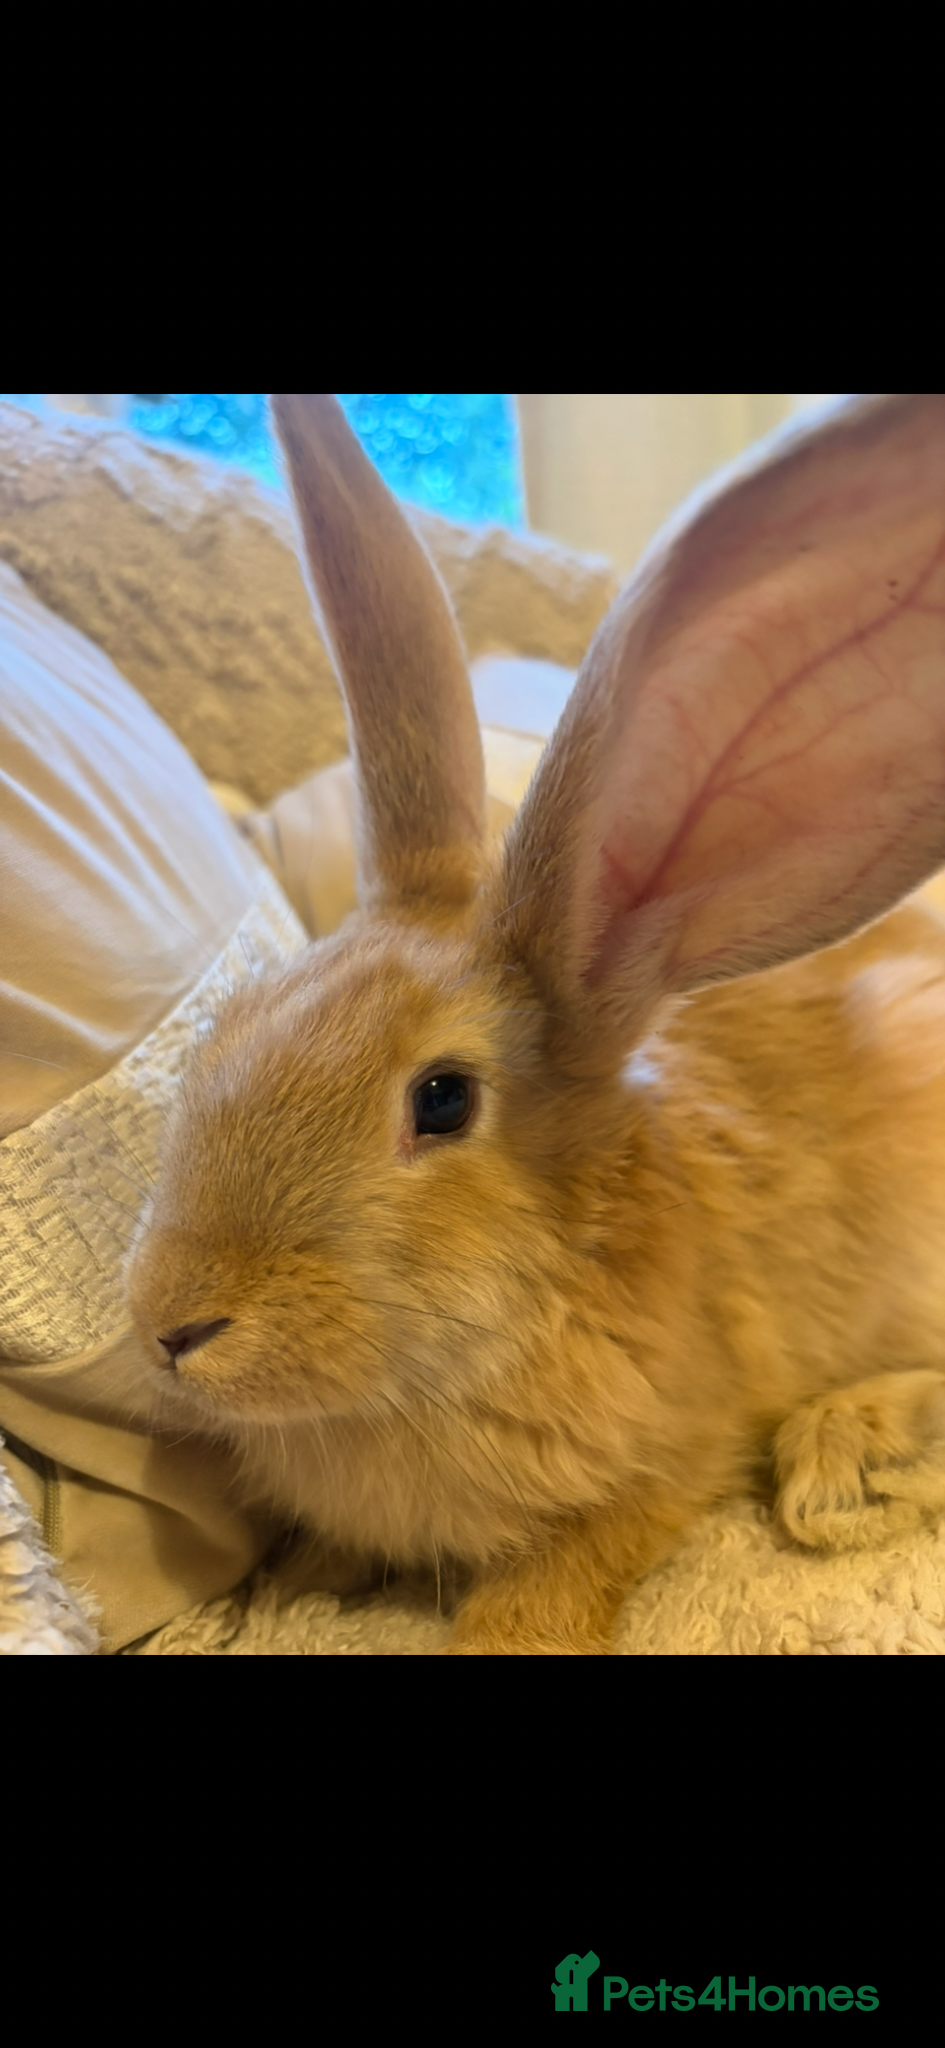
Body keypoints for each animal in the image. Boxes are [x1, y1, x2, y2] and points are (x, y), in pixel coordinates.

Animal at [127, 391, 945, 1655]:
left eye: (441, 1099)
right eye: (234, 1020)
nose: (172, 1322)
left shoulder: (673, 1451)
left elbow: (569, 1563)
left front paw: (502, 1632)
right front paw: (298, 1582)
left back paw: (843, 1462)